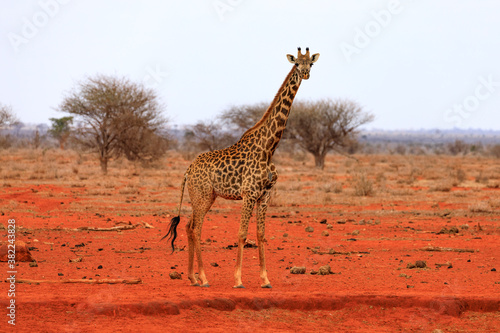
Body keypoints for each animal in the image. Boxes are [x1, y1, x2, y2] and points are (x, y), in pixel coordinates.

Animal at [164, 46, 320, 288]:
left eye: (310, 64)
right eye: (296, 63)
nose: (305, 74)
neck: (269, 148)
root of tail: (188, 170)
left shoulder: (265, 196)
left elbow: (260, 234)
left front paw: (265, 279)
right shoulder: (249, 194)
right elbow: (241, 233)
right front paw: (238, 279)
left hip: (205, 197)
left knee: (189, 227)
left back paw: (192, 277)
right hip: (201, 195)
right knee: (196, 229)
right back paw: (204, 278)